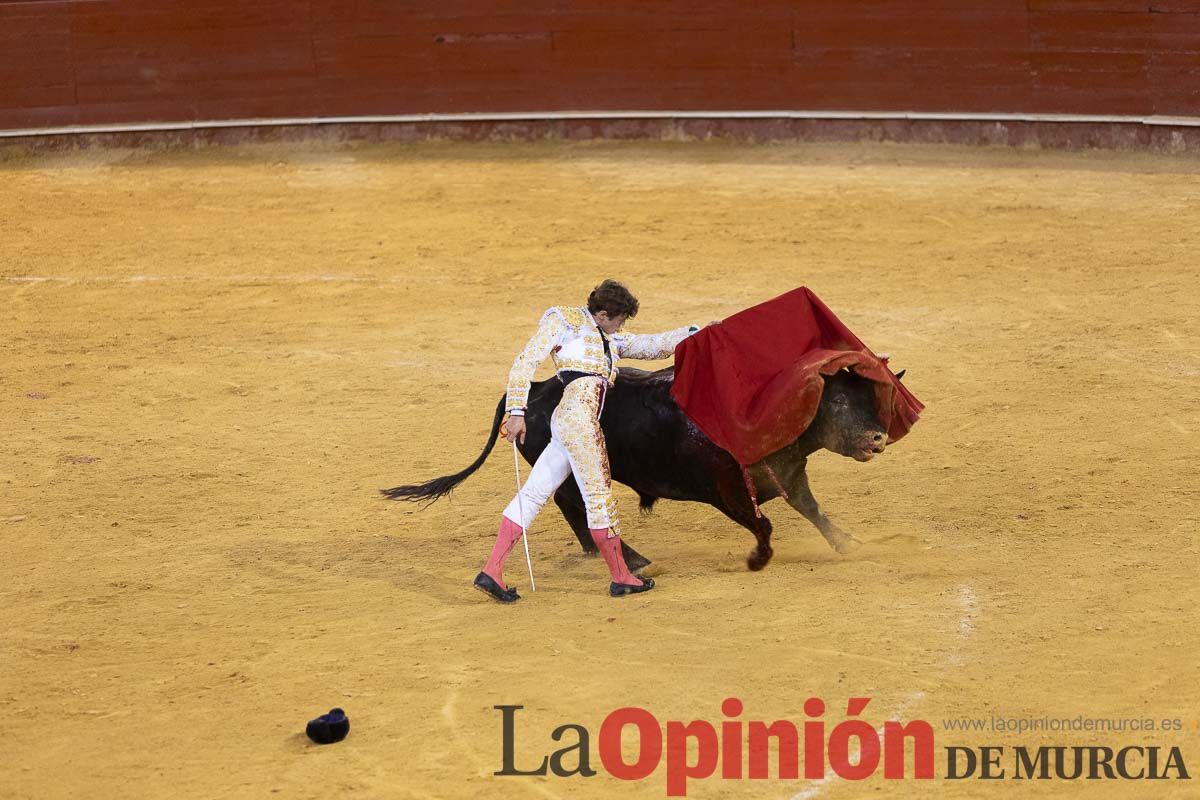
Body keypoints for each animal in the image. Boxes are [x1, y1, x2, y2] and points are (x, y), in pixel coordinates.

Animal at [384, 367, 902, 573]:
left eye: (866, 397)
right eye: (837, 402)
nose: (879, 437)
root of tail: (533, 389)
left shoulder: (790, 474)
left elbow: (812, 511)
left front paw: (849, 543)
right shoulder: (726, 489)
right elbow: (764, 523)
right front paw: (757, 559)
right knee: (575, 507)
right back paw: (629, 559)